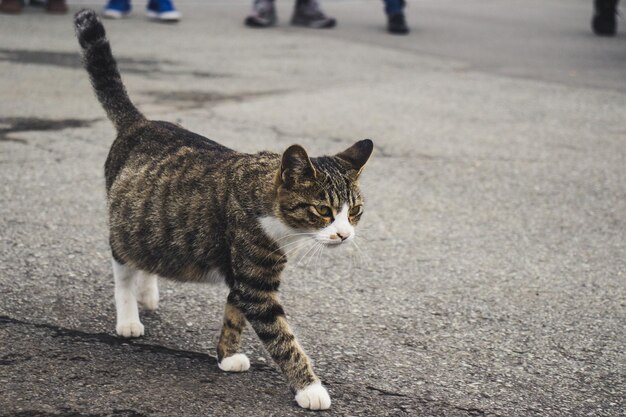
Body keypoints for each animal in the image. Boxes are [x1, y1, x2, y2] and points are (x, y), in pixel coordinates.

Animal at [75, 8, 372, 408]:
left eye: (354, 212)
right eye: (324, 211)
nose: (344, 234)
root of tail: (140, 122)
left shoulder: (243, 273)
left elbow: (234, 313)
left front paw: (227, 354)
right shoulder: (255, 279)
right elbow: (282, 336)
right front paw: (310, 389)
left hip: (152, 223)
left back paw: (147, 293)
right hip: (125, 226)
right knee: (122, 264)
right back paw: (129, 317)